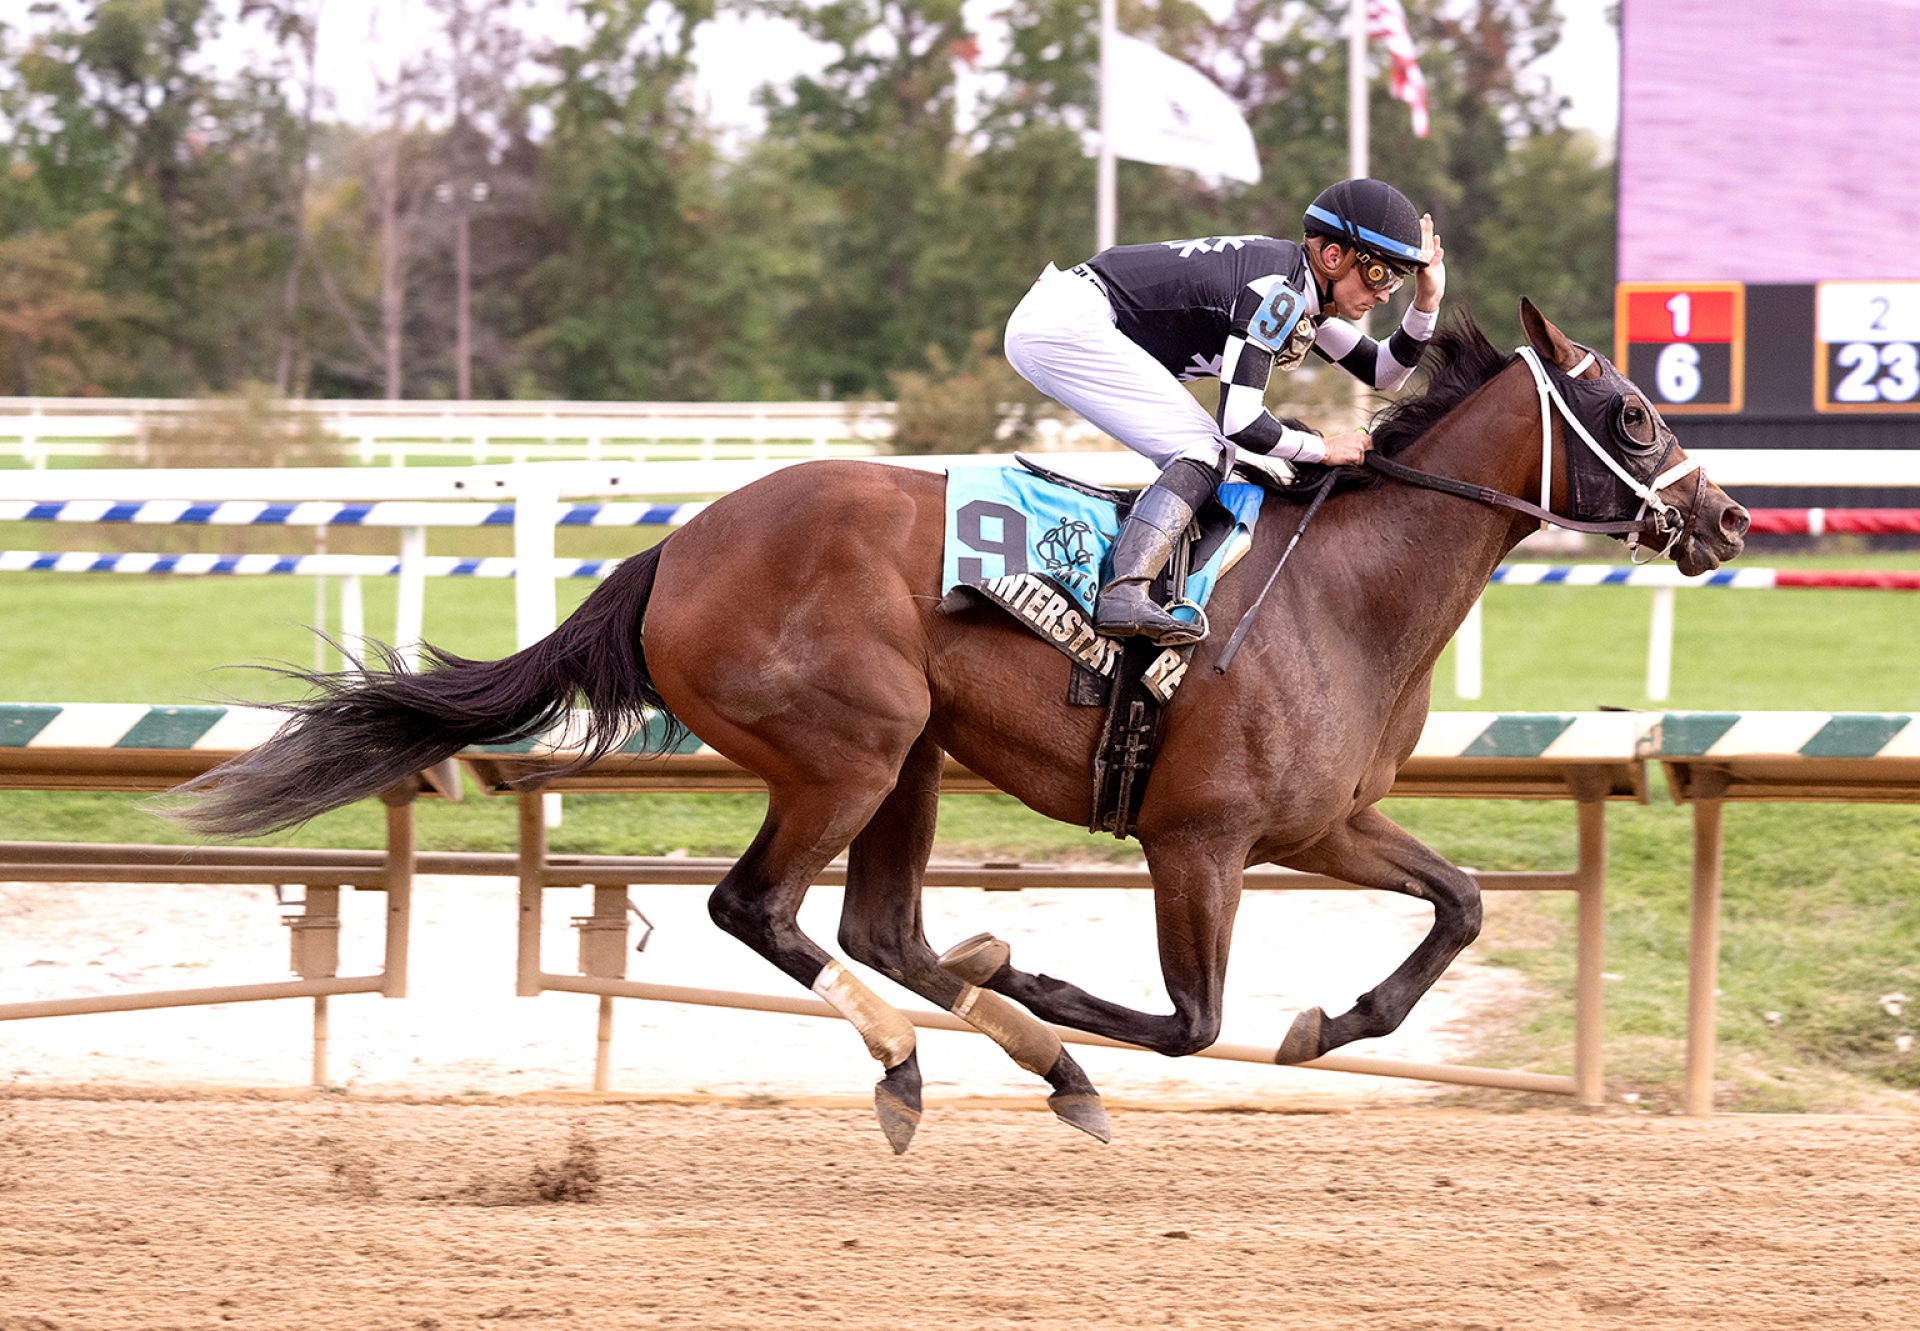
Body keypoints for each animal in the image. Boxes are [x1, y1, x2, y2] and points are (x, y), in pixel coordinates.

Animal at [172, 303, 1751, 1152]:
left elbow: (1461, 904)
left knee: (883, 928)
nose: (1729, 519)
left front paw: (1333, 1020)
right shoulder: (1199, 839)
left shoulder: (1323, 821)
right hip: (850, 748)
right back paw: (922, 1054)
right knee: (763, 910)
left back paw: (1019, 1046)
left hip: (914, 756)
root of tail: (672, 551)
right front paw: (1053, 983)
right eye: (1628, 408)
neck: (1347, 589)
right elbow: (1193, 1019)